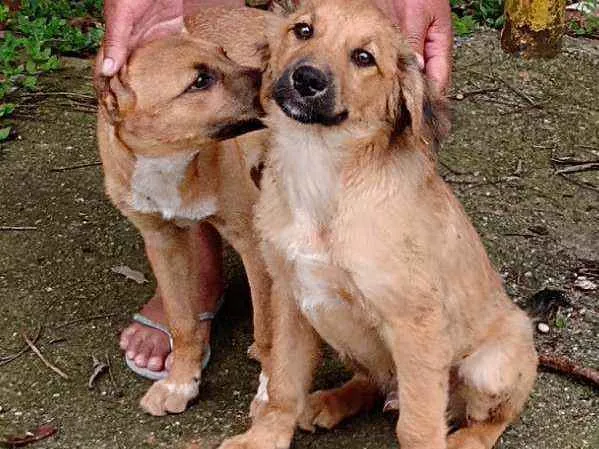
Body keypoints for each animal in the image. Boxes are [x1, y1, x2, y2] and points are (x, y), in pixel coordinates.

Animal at [95, 7, 274, 416]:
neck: (171, 160)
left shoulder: (251, 242)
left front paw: (270, 394)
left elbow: (267, 330)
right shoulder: (162, 243)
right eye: (200, 81)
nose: (280, 77)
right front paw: (180, 382)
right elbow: (183, 324)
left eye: (225, 53)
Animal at [220, 0, 540, 448]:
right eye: (303, 30)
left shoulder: (416, 323)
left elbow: (418, 425)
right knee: (373, 380)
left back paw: (464, 440)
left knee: (492, 417)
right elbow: (283, 384)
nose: (306, 79)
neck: (320, 166)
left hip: (491, 366)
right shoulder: (289, 294)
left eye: (363, 57)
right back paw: (329, 402)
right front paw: (264, 437)